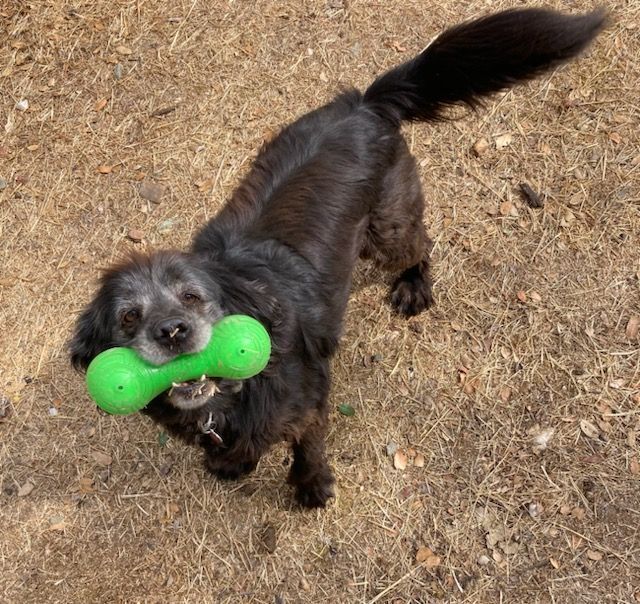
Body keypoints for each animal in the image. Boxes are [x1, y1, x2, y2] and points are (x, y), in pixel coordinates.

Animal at [70, 9, 604, 508]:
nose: (172, 332)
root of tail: (364, 104)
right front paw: (234, 464)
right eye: (129, 317)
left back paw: (415, 285)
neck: (228, 396)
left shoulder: (308, 405)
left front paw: (311, 488)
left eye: (193, 296)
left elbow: (307, 449)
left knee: (422, 243)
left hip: (386, 230)